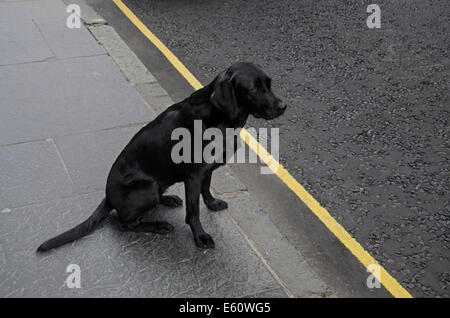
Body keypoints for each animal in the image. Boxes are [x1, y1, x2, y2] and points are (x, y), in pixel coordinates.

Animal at [37, 62, 286, 251]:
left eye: (269, 84)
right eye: (254, 89)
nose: (284, 106)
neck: (220, 119)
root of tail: (108, 197)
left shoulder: (207, 170)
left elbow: (207, 189)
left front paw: (213, 203)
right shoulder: (194, 175)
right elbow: (193, 212)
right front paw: (200, 237)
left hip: (157, 185)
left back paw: (167, 199)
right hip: (146, 189)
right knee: (123, 223)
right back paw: (158, 226)